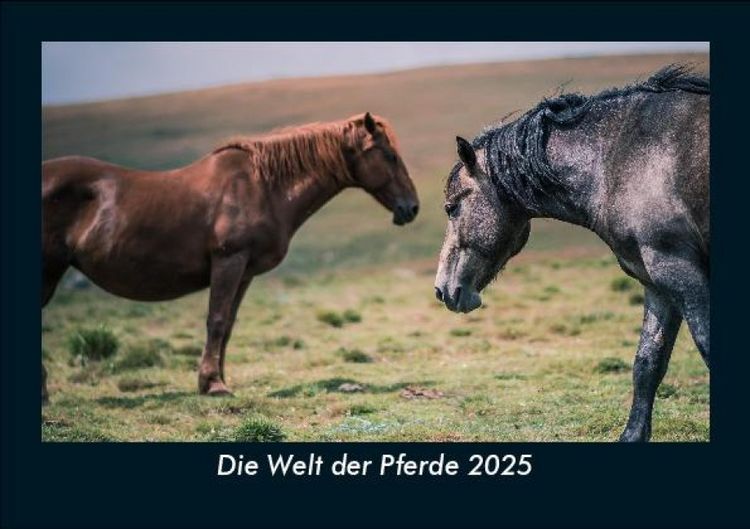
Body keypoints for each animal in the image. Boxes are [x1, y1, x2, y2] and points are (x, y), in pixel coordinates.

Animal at [42, 112, 419, 399]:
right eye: (389, 155)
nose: (412, 208)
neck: (262, 186)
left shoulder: (245, 272)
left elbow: (229, 325)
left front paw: (215, 379)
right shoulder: (229, 262)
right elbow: (217, 320)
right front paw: (213, 384)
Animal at [434, 65, 709, 441]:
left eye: (452, 207)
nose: (442, 289)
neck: (618, 157)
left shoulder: (681, 272)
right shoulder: (658, 282)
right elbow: (647, 363)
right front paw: (632, 435)